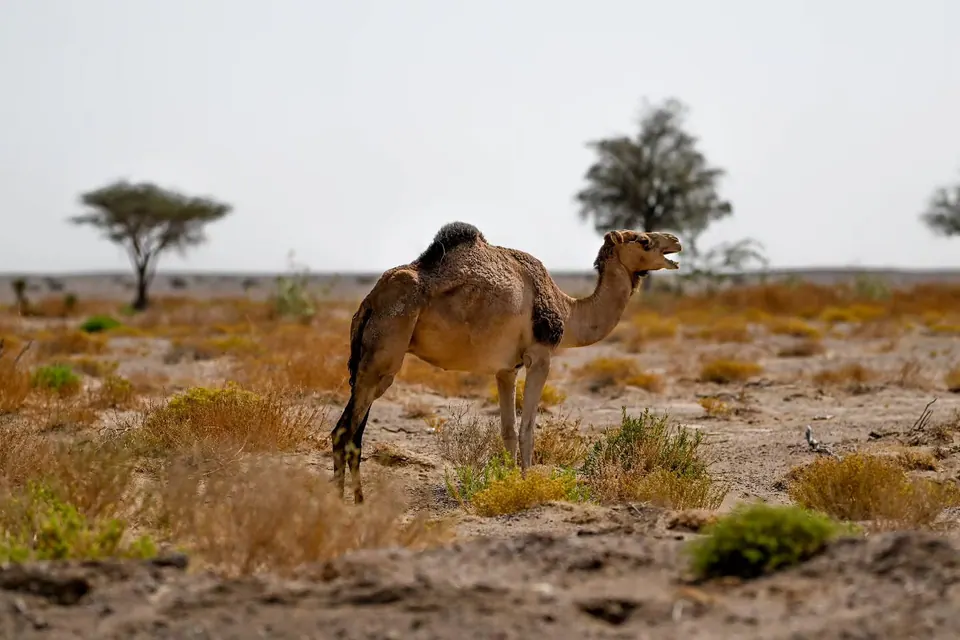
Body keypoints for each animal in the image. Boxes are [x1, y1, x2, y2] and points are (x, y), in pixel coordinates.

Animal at [331, 222, 682, 503]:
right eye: (642, 240)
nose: (676, 240)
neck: (568, 311)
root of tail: (371, 299)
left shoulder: (505, 369)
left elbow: (508, 430)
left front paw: (509, 480)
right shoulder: (540, 356)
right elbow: (528, 428)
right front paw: (526, 485)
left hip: (368, 359)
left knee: (349, 430)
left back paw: (348, 501)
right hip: (386, 349)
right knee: (346, 431)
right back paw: (348, 504)